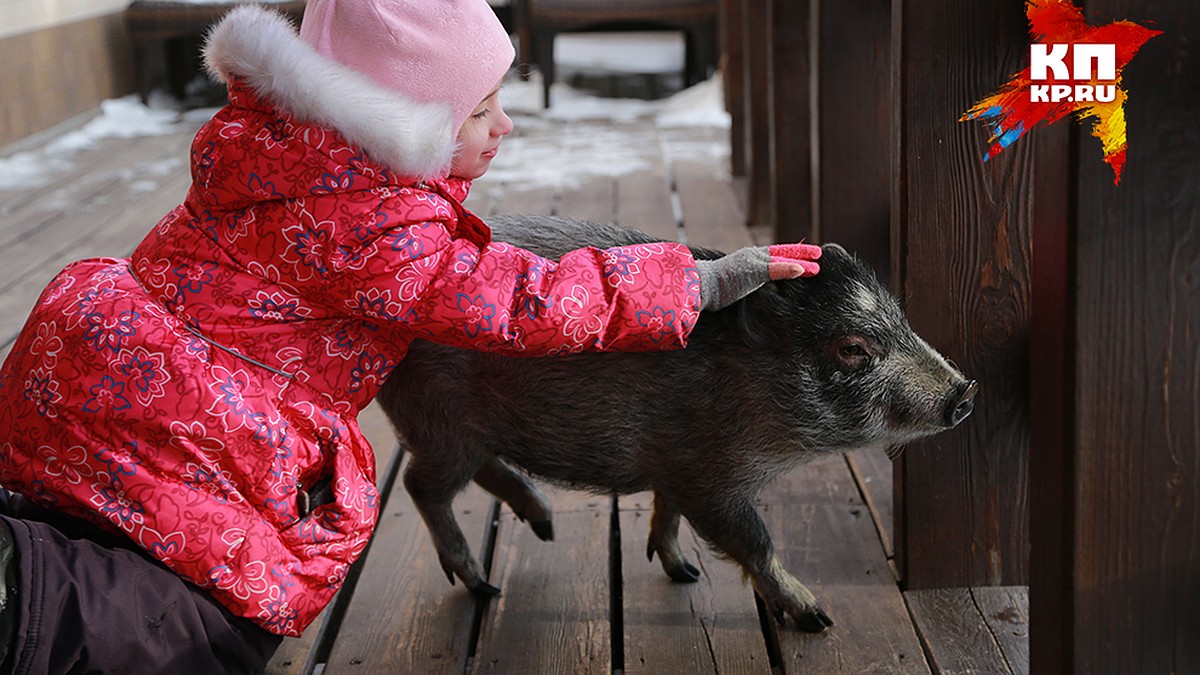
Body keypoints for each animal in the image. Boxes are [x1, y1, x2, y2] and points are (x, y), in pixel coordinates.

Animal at [374, 214, 974, 629]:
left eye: (902, 319)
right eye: (852, 349)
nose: (965, 393)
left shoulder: (676, 468)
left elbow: (668, 511)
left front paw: (682, 572)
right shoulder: (708, 478)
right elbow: (752, 538)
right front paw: (818, 618)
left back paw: (544, 527)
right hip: (440, 422)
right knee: (420, 486)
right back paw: (485, 587)